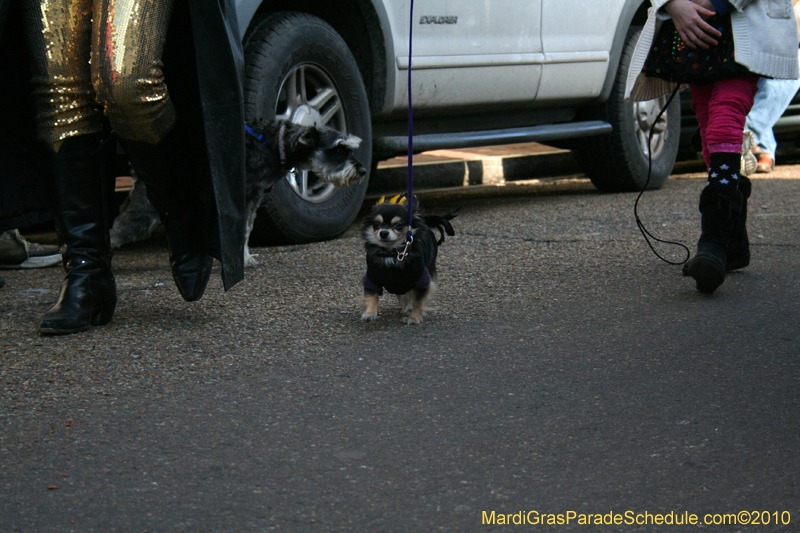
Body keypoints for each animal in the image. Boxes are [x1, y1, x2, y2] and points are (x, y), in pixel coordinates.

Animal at [109, 118, 366, 264]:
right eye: (338, 150)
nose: (362, 170)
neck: (274, 144)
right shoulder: (242, 197)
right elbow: (239, 230)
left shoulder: (252, 199)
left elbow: (246, 230)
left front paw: (245, 258)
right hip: (145, 213)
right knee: (116, 231)